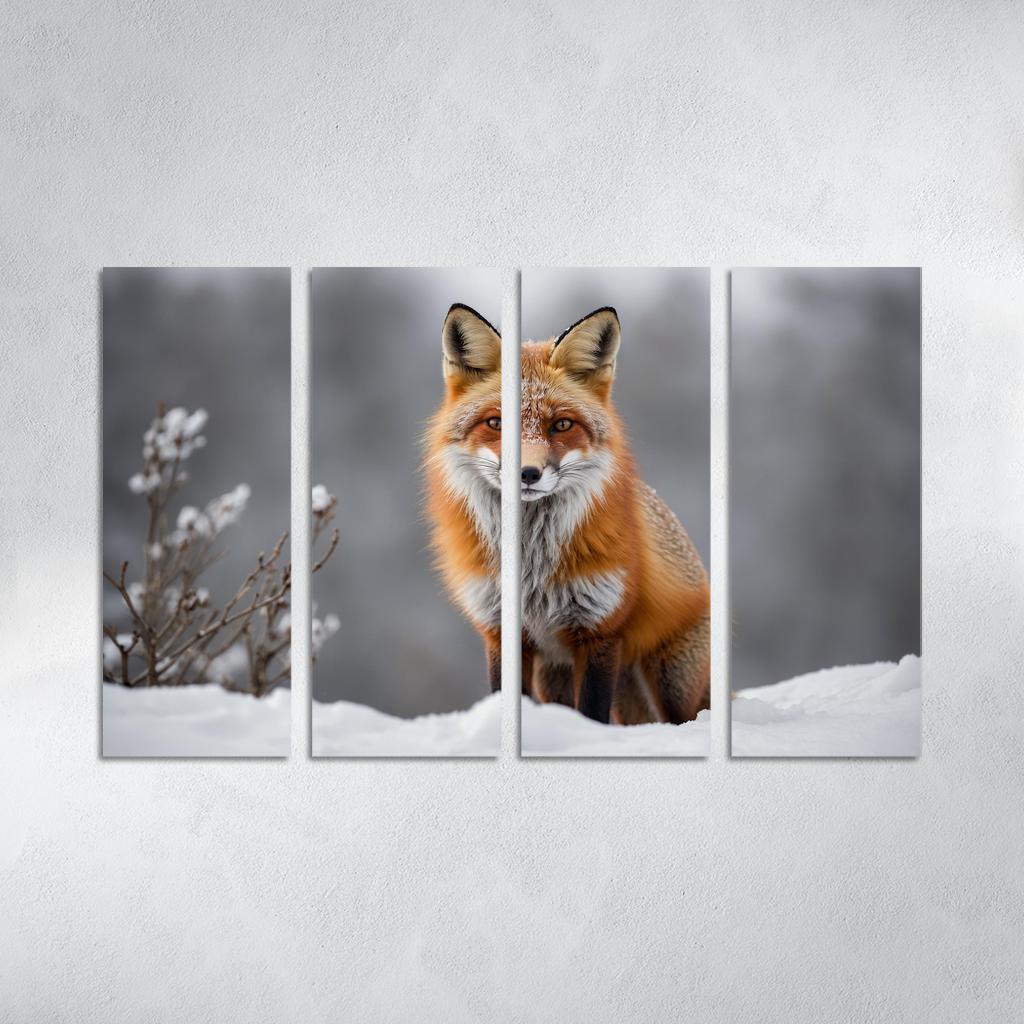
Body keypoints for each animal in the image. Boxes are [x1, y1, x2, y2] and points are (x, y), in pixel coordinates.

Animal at [426, 303, 710, 725]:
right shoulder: (500, 629)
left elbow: (591, 713)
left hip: (670, 685)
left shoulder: (598, 631)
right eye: (495, 423)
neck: (532, 567)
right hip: (558, 679)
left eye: (561, 424)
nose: (527, 473)